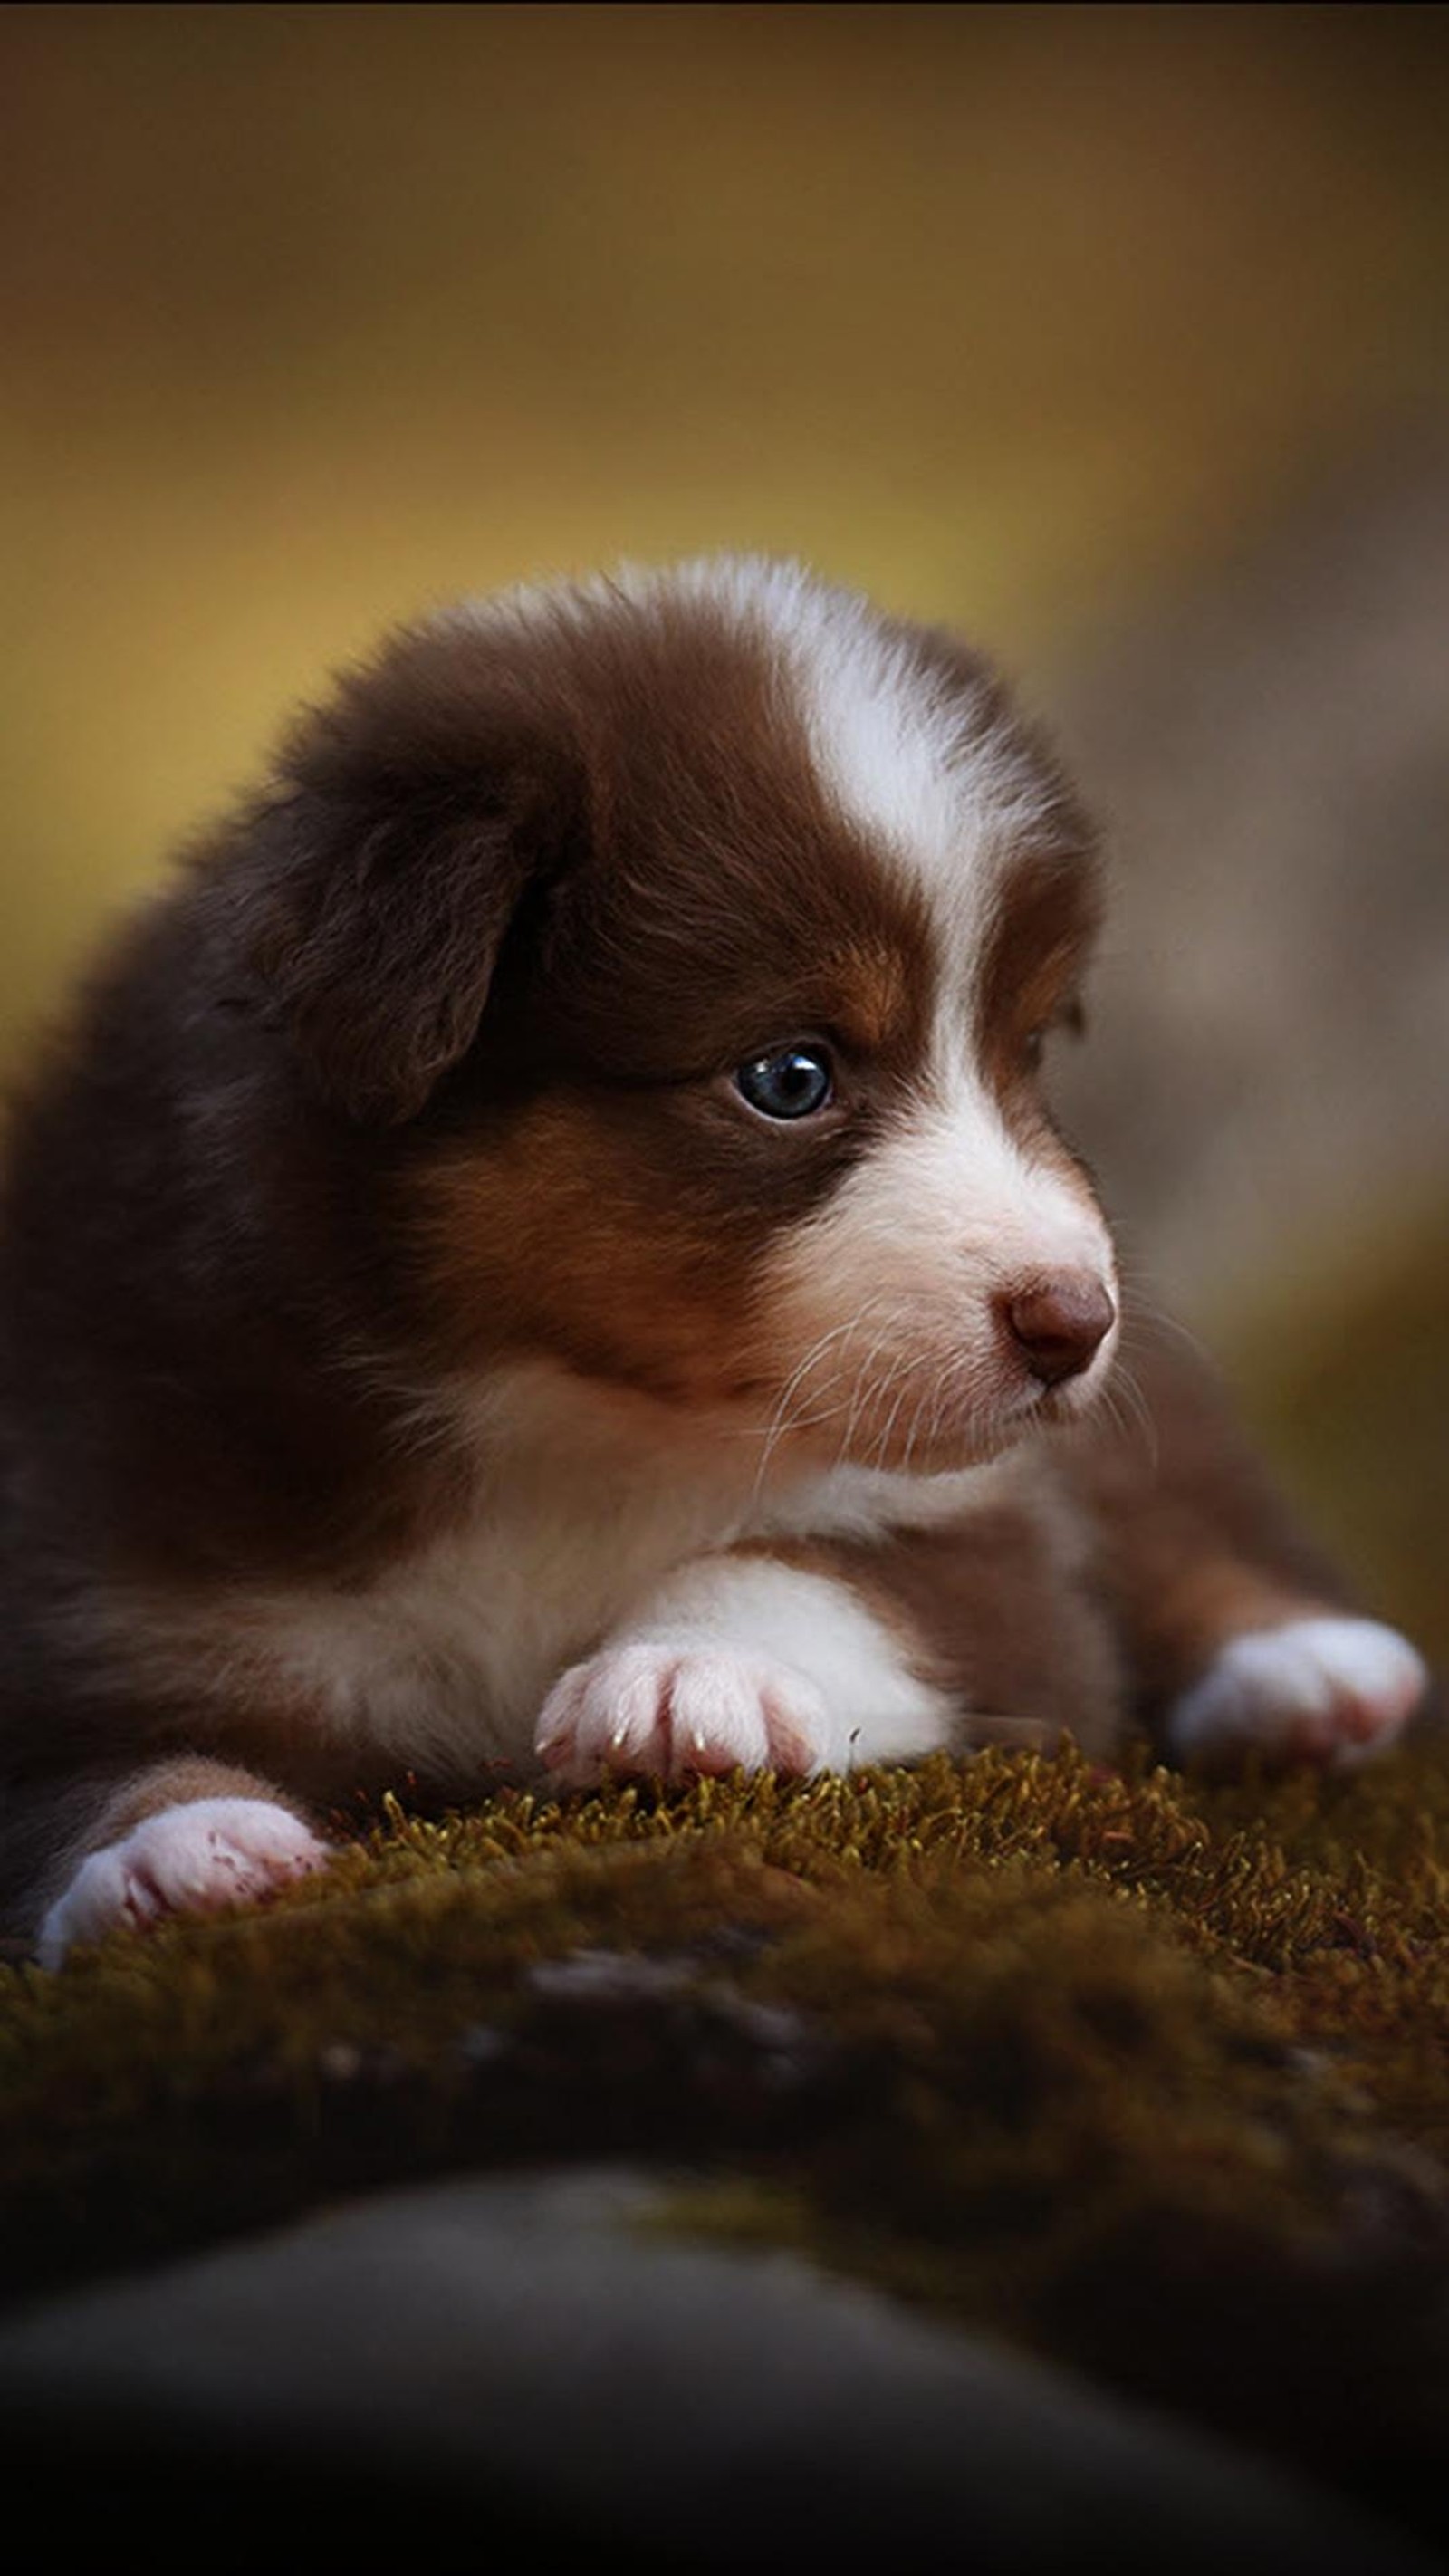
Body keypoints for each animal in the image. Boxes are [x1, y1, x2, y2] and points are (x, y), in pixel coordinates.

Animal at [0, 559, 1431, 1967]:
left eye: (1025, 1052)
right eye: (788, 1077)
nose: (1073, 1322)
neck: (555, 1419)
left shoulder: (994, 1554)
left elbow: (817, 1572)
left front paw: (691, 1675)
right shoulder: (103, 1558)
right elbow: (96, 1770)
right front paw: (175, 1852)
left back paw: (1308, 1676)